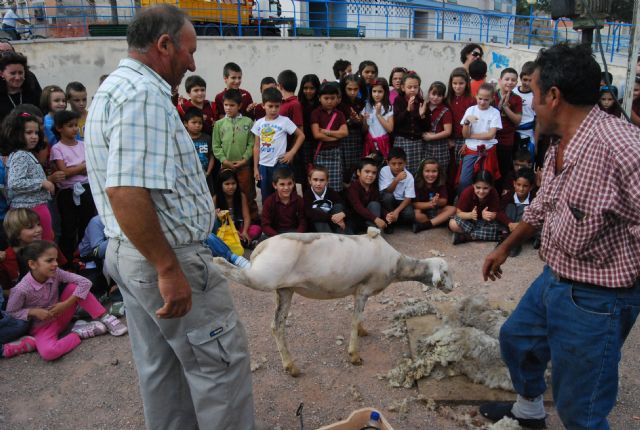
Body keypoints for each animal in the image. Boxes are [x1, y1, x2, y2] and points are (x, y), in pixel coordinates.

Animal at [212, 228, 452, 376]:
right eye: (446, 272)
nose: (452, 288)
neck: (398, 265)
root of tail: (261, 248)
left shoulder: (357, 292)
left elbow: (359, 319)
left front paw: (363, 331)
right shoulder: (363, 290)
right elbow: (354, 321)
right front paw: (354, 355)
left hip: (284, 289)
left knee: (276, 326)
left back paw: (291, 366)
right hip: (264, 276)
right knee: (233, 272)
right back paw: (216, 261)